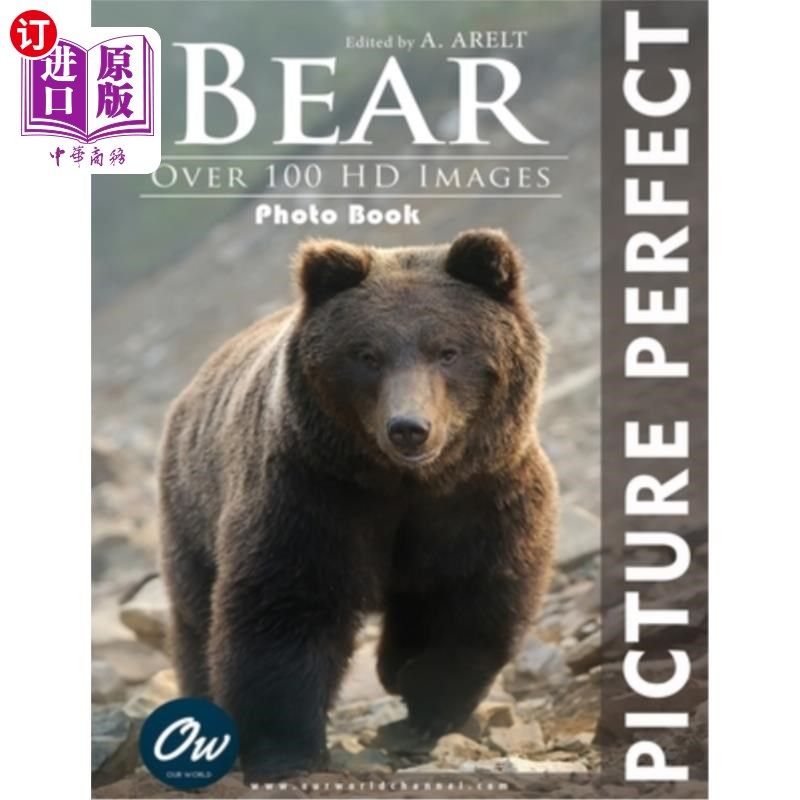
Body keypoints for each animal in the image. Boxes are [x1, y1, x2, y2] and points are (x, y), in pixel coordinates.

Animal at [157, 228, 558, 781]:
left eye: (447, 350)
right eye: (367, 354)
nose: (409, 427)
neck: (405, 482)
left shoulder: (480, 496)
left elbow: (466, 598)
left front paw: (425, 699)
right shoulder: (313, 494)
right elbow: (285, 607)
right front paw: (285, 751)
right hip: (193, 507)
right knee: (197, 617)